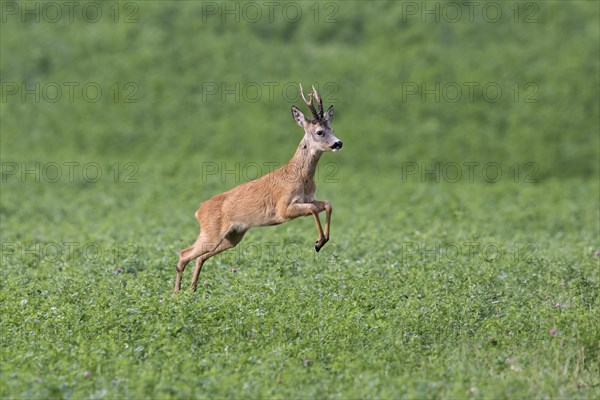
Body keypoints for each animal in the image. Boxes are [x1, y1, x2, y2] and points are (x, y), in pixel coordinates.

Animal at [173, 83, 342, 294]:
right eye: (319, 132)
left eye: (331, 127)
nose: (338, 143)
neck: (300, 178)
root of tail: (199, 210)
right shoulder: (283, 208)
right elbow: (313, 209)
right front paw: (318, 243)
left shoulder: (309, 198)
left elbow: (327, 204)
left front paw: (322, 241)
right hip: (211, 232)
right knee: (184, 253)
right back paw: (176, 294)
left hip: (233, 236)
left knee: (199, 257)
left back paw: (192, 289)